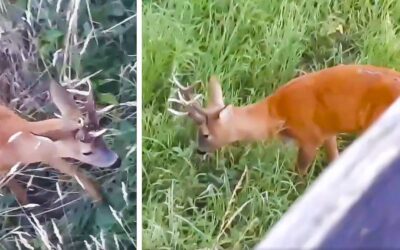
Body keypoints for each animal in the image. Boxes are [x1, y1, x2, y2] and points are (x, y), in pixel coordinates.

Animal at [168, 64, 400, 176]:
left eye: (205, 134)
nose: (199, 151)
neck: (275, 115)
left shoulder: (310, 137)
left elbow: (300, 175)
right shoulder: (327, 132)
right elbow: (335, 161)